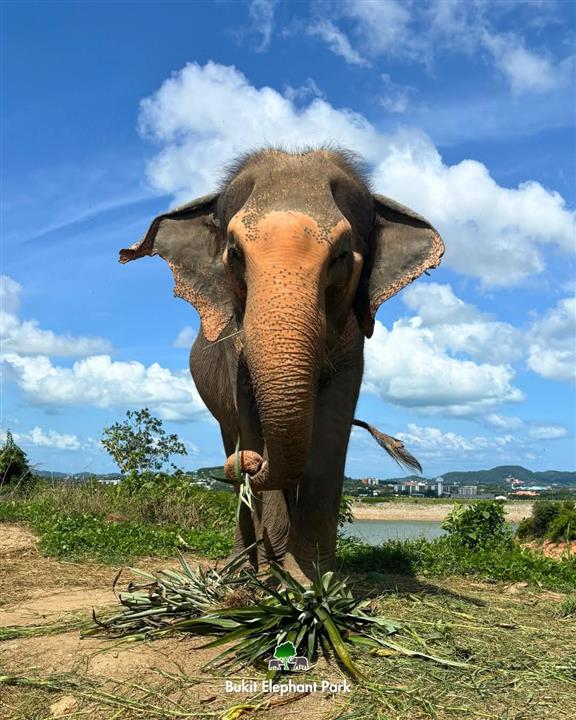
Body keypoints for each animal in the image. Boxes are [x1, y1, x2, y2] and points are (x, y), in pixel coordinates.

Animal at [120, 148, 444, 583]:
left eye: (342, 255)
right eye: (234, 253)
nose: (253, 463)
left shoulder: (353, 346)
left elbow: (332, 427)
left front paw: (310, 581)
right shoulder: (234, 351)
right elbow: (252, 416)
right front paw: (275, 580)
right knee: (233, 437)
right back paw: (241, 567)